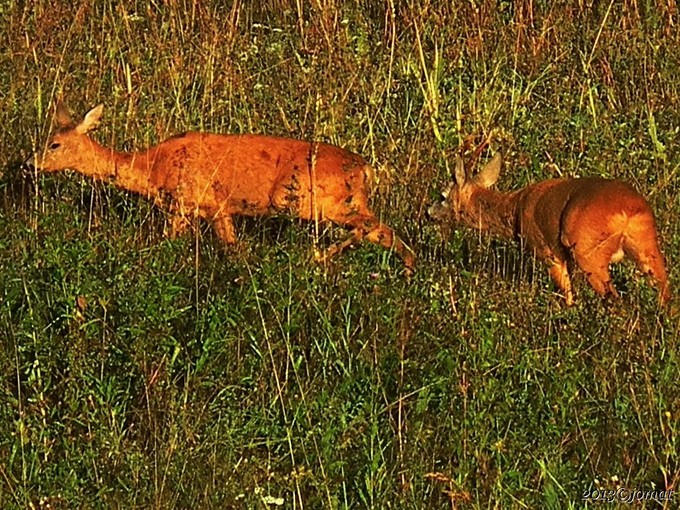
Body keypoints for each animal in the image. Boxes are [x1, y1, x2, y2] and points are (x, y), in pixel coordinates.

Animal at [25, 101, 414, 272]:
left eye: (55, 144)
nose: (29, 164)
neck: (152, 170)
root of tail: (365, 168)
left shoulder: (192, 203)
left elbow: (170, 244)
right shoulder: (210, 210)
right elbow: (230, 248)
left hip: (307, 200)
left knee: (373, 227)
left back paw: (320, 256)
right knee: (383, 231)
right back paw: (409, 271)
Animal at [430, 149, 668, 304]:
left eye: (442, 195)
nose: (428, 212)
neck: (515, 210)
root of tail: (628, 211)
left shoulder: (548, 251)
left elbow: (568, 295)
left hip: (588, 250)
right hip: (646, 243)